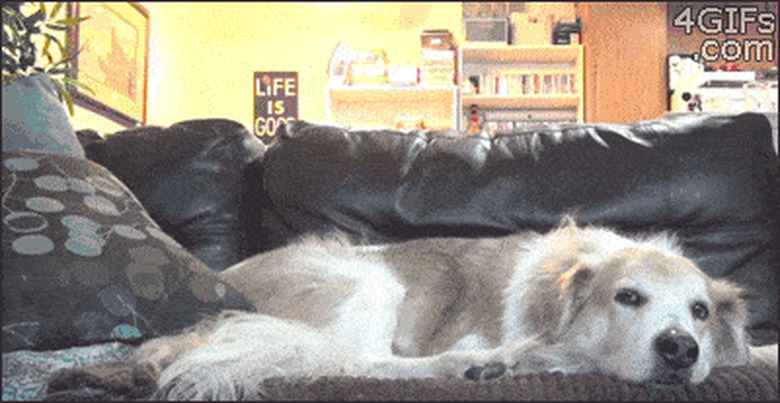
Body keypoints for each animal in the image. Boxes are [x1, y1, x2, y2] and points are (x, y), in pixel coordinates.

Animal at [105, 218, 772, 400]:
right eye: (627, 297)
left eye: (701, 312)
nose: (681, 350)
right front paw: (528, 358)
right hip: (368, 283)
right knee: (361, 362)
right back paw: (475, 367)